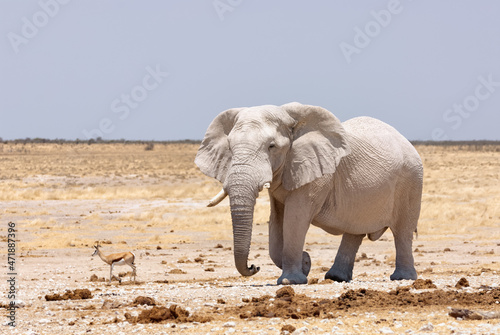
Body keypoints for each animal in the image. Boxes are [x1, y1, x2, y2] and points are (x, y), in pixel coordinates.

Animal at [195, 102, 422, 286]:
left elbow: (295, 218)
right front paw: (304, 264)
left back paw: (402, 278)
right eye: (230, 147)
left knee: (402, 232)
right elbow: (276, 221)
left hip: (411, 180)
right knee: (355, 230)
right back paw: (336, 278)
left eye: (271, 146)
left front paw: (291, 280)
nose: (254, 266)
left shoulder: (317, 173)